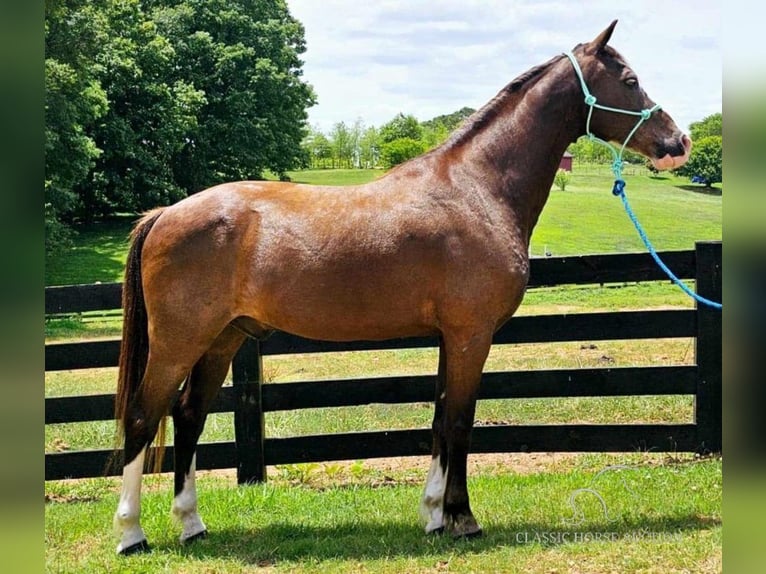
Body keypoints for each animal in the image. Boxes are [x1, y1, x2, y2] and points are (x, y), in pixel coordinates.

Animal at [115, 20, 696, 556]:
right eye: (630, 80)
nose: (679, 142)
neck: (477, 189)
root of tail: (165, 213)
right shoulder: (470, 335)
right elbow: (459, 422)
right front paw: (463, 519)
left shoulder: (450, 338)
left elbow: (439, 419)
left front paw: (434, 516)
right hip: (179, 341)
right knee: (143, 416)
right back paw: (131, 535)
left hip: (223, 338)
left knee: (188, 416)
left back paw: (192, 526)